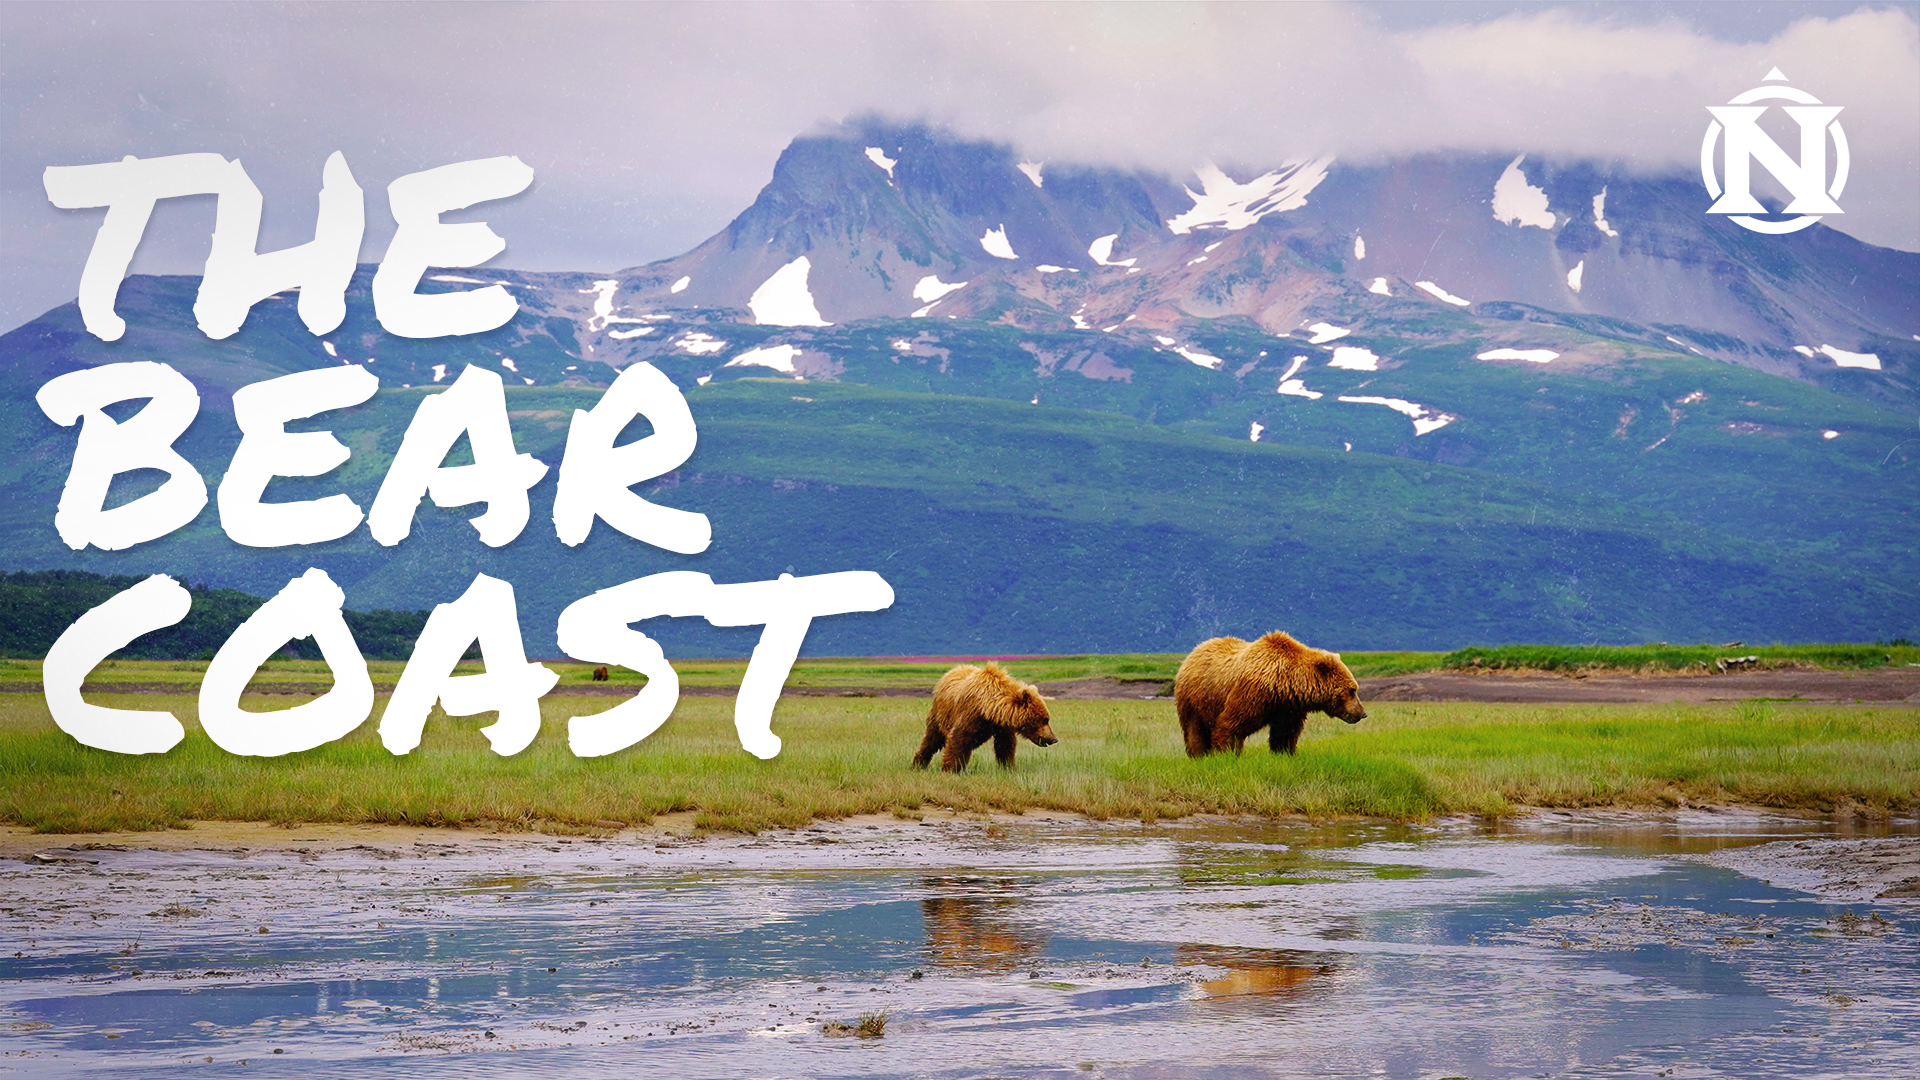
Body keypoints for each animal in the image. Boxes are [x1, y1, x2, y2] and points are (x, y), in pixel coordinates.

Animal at [911, 663, 1058, 773]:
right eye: (1045, 719)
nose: (1054, 739)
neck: (988, 709)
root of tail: (950, 672)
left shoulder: (1001, 726)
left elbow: (1005, 745)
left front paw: (1008, 767)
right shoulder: (970, 714)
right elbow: (958, 739)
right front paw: (949, 769)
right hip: (939, 714)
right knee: (931, 739)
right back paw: (918, 763)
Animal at [1174, 631, 1367, 757]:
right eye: (1352, 690)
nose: (1363, 713)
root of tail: (1193, 652)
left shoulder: (1288, 708)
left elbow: (1285, 733)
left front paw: (1285, 753)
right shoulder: (1252, 693)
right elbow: (1231, 724)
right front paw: (1227, 753)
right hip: (1195, 699)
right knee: (1194, 730)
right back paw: (1198, 755)